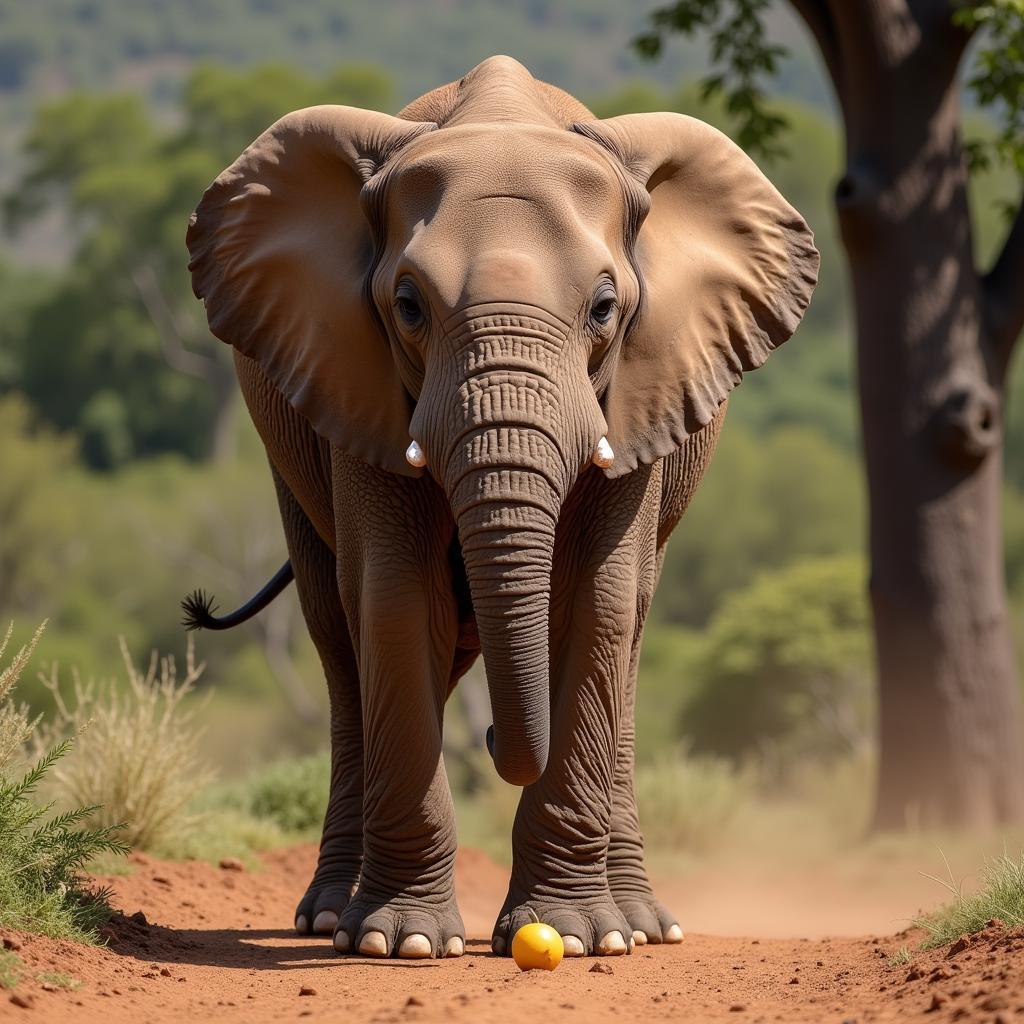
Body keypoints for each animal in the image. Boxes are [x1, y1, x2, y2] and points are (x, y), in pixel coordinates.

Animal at [184, 56, 819, 962]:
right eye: (409, 306)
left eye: (604, 309)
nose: (491, 739)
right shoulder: (359, 377)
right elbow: (396, 597)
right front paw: (403, 943)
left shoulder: (640, 391)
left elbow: (598, 602)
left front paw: (581, 937)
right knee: (337, 632)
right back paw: (331, 919)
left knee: (630, 621)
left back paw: (643, 926)